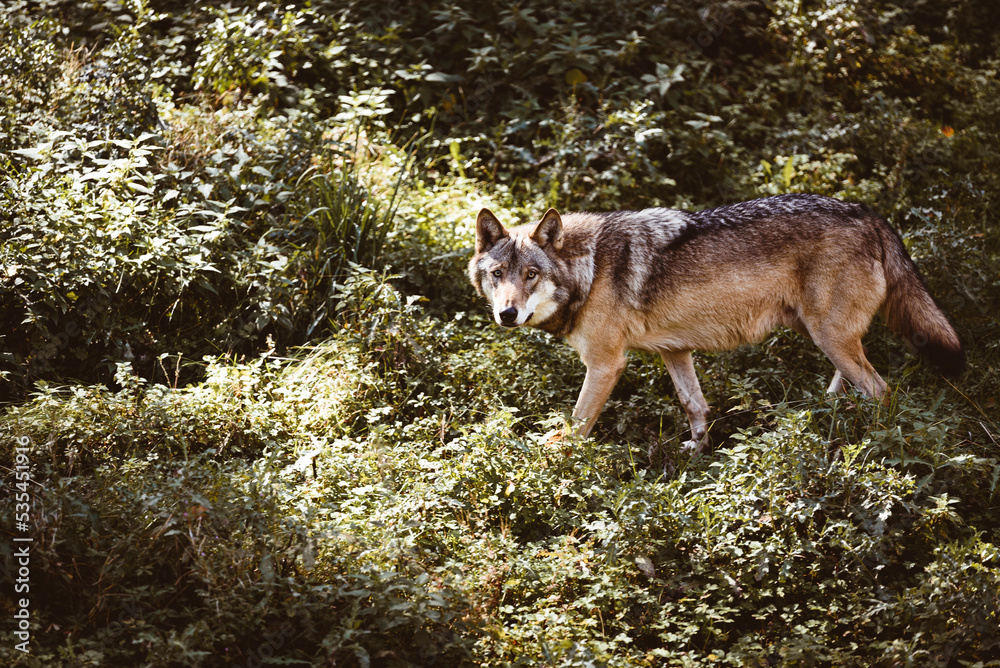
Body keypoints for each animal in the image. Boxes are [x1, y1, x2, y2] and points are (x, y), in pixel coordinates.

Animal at [467, 193, 964, 452]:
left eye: (531, 275)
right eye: (498, 274)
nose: (507, 314)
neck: (588, 269)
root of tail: (871, 215)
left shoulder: (607, 365)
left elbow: (576, 425)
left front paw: (555, 465)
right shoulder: (674, 350)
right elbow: (696, 406)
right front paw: (699, 452)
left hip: (829, 336)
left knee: (881, 390)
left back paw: (875, 441)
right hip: (823, 336)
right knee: (854, 382)